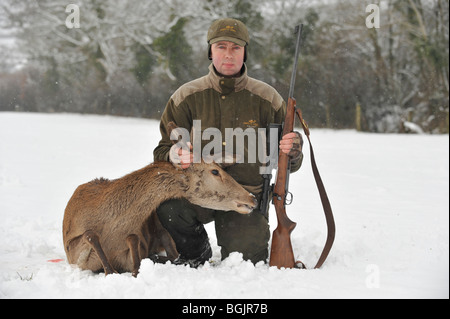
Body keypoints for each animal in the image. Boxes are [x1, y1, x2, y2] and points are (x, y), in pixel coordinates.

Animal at [62, 122, 256, 278]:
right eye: (215, 171)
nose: (251, 198)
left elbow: (133, 241)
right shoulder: (72, 252)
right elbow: (90, 234)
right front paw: (111, 270)